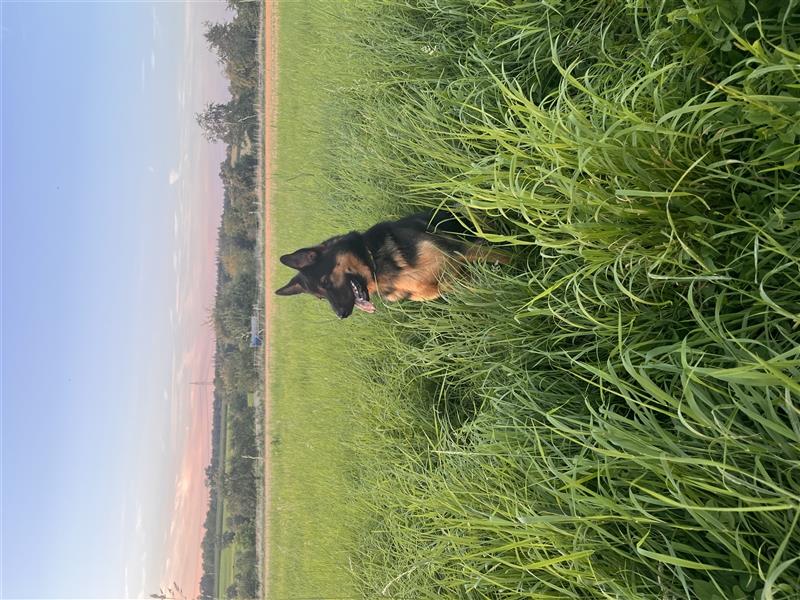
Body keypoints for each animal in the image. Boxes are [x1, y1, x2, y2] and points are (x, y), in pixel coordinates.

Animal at [276, 213, 500, 322]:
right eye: (320, 297)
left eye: (325, 282)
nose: (341, 315)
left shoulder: (461, 251)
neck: (377, 265)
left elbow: (504, 257)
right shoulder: (453, 285)